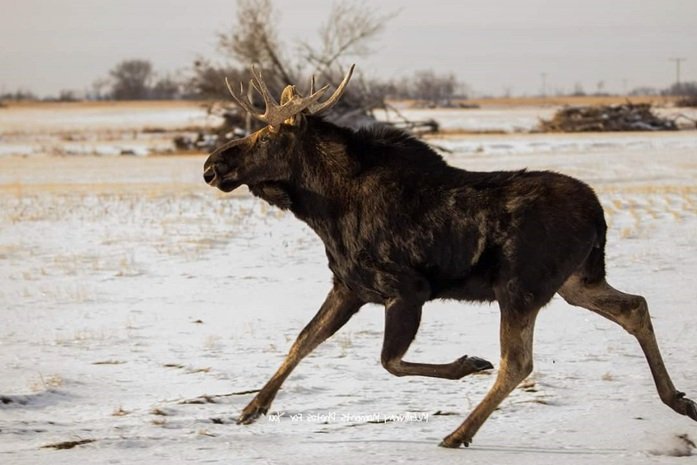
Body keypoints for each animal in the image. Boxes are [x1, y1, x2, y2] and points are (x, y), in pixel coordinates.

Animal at [202, 65, 697, 448]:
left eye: (265, 135)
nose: (211, 165)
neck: (324, 210)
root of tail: (598, 214)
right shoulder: (348, 286)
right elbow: (302, 341)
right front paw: (251, 408)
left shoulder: (407, 290)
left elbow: (390, 361)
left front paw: (467, 364)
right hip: (577, 281)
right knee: (635, 307)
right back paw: (679, 400)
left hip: (520, 287)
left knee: (517, 362)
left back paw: (459, 432)